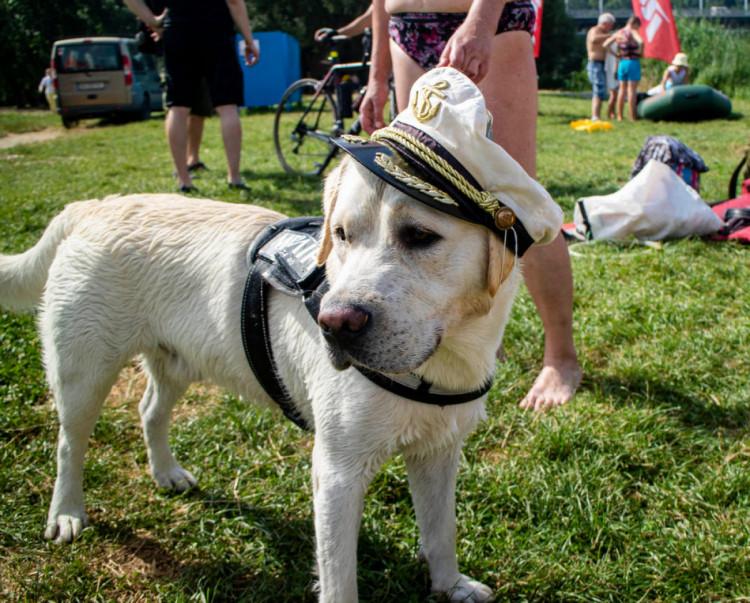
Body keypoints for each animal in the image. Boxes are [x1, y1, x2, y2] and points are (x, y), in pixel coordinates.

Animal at [0, 68, 560, 600]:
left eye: (420, 235)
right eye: (341, 235)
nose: (333, 324)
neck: (441, 363)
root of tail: (93, 204)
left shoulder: (439, 453)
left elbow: (441, 532)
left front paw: (451, 586)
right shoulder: (336, 472)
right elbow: (339, 580)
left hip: (175, 361)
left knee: (149, 410)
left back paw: (167, 474)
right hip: (83, 372)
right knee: (69, 443)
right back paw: (66, 513)